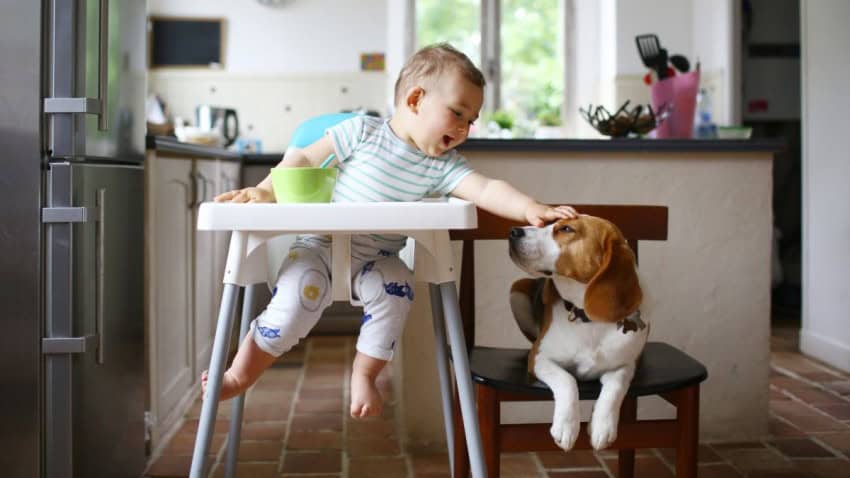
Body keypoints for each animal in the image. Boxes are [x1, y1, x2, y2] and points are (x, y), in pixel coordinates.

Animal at [506, 215, 644, 450]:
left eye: (566, 229)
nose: (513, 231)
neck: (587, 318)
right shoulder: (540, 358)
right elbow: (567, 380)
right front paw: (566, 425)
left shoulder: (625, 365)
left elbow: (615, 387)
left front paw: (603, 426)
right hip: (517, 290)